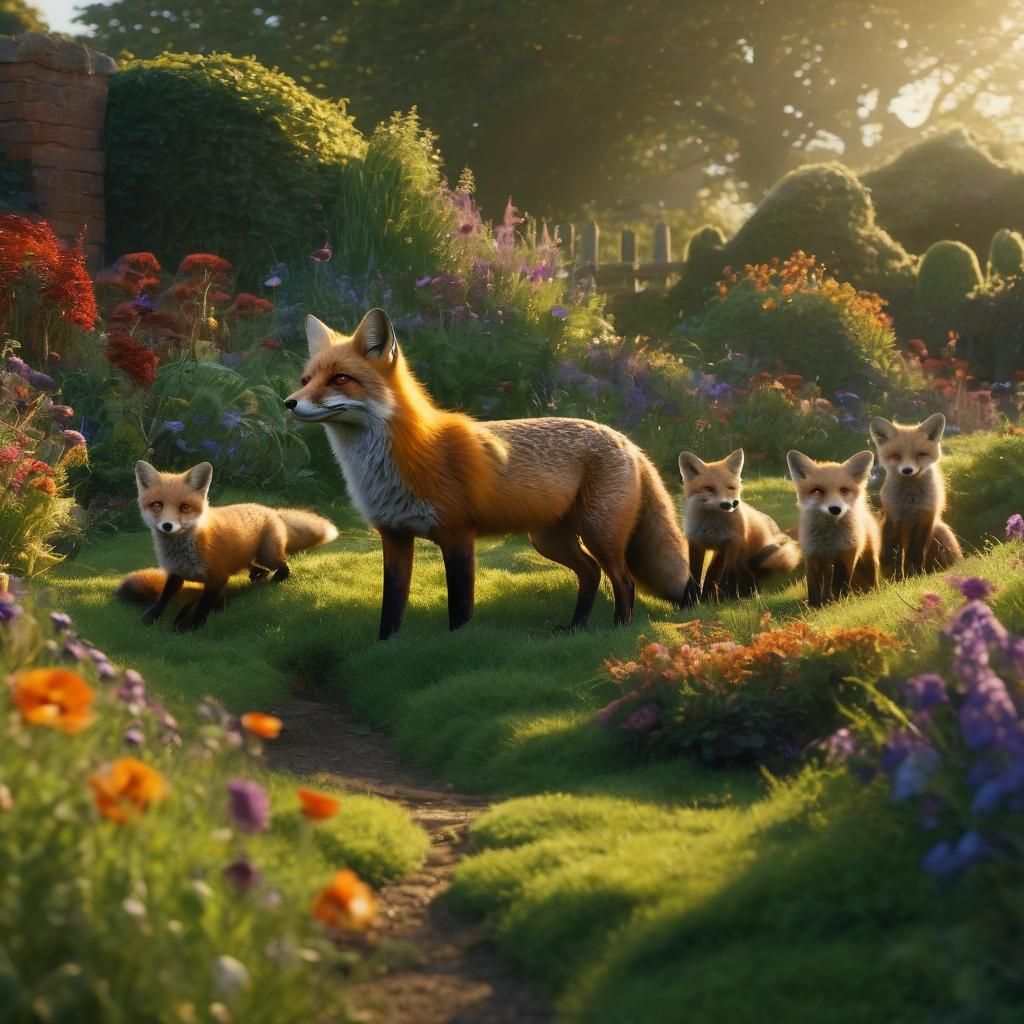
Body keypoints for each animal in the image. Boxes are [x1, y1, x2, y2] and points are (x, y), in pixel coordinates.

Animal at [117, 461, 338, 630]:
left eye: (185, 507)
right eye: (157, 505)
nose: (167, 526)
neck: (183, 554)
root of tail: (270, 509)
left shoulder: (217, 579)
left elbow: (203, 605)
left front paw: (193, 626)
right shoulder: (176, 574)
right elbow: (164, 597)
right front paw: (150, 618)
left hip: (268, 555)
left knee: (284, 565)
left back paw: (278, 577)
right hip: (248, 556)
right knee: (252, 565)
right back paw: (258, 573)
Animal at [284, 308, 698, 639]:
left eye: (339, 379)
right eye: (306, 381)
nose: (289, 403)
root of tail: (627, 441)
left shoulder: (457, 535)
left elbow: (460, 607)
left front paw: (458, 647)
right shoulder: (394, 536)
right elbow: (391, 607)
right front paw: (386, 648)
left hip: (599, 533)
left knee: (623, 580)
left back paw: (617, 630)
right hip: (550, 540)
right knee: (591, 573)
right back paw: (575, 627)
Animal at [679, 448, 801, 600]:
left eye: (731, 487)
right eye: (708, 488)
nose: (729, 504)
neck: (712, 527)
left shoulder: (729, 544)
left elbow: (717, 576)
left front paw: (715, 599)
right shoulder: (697, 543)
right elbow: (696, 576)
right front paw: (692, 601)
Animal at [787, 450, 882, 608]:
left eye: (843, 490)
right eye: (817, 491)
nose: (835, 509)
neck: (830, 542)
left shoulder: (847, 556)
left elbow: (841, 583)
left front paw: (840, 601)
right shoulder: (812, 556)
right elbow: (813, 586)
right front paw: (814, 607)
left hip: (868, 559)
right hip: (826, 564)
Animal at [869, 413, 962, 577]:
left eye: (920, 455)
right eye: (896, 456)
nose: (907, 470)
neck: (911, 501)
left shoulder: (927, 517)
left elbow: (916, 553)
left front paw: (916, 575)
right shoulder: (897, 519)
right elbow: (897, 553)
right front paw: (899, 578)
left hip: (940, 530)